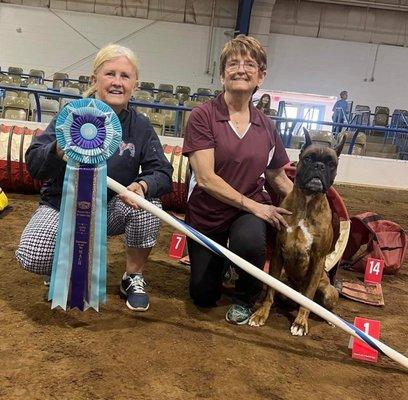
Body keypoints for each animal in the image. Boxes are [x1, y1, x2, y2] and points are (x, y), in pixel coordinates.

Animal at [247, 130, 346, 336]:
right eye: (308, 158)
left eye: (331, 163)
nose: (319, 166)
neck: (307, 201)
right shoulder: (278, 253)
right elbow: (270, 290)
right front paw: (261, 314)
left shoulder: (318, 259)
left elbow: (307, 298)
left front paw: (300, 323)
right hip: (285, 278)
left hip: (328, 291)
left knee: (322, 304)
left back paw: (330, 319)